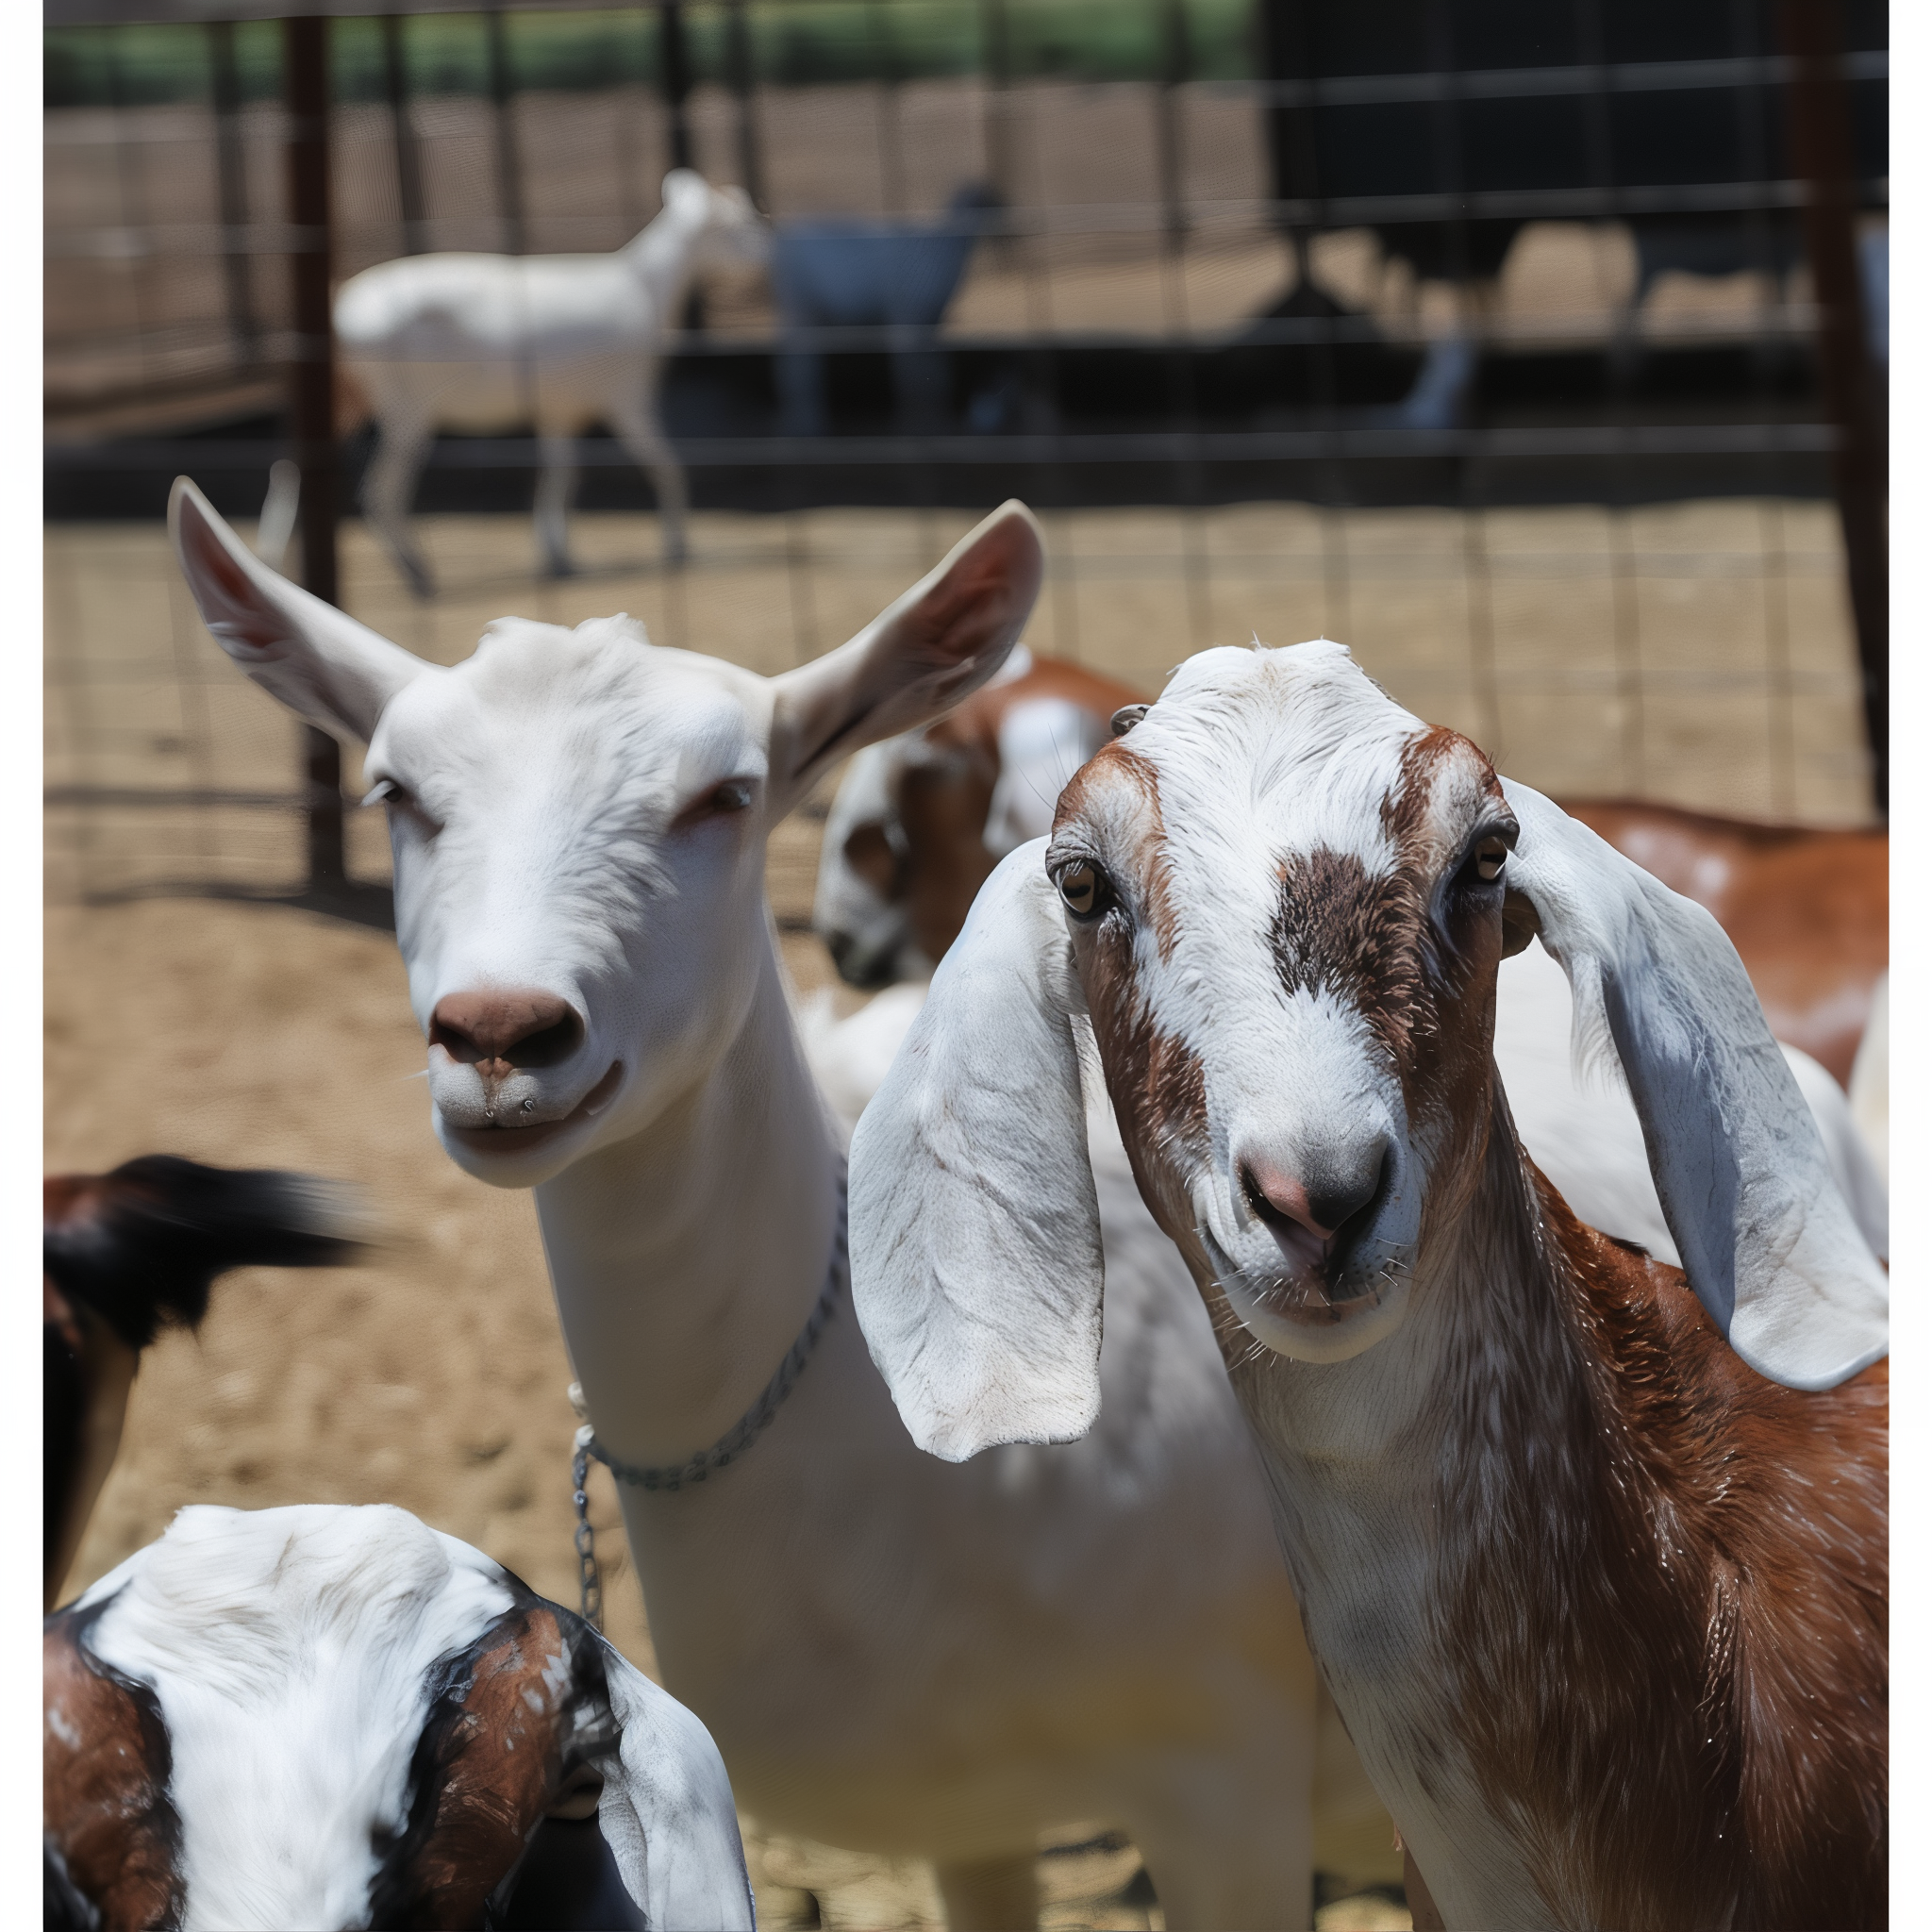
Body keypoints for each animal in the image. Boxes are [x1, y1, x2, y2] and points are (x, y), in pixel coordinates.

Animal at [334, 170, 768, 597]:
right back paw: (417, 571)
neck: (645, 287)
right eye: (741, 222)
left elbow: (562, 475)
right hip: (407, 410)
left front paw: (559, 556)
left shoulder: (559, 412)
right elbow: (664, 464)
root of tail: (341, 317)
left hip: (365, 405)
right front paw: (676, 545)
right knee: (380, 492)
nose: (769, 257)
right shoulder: (627, 397)